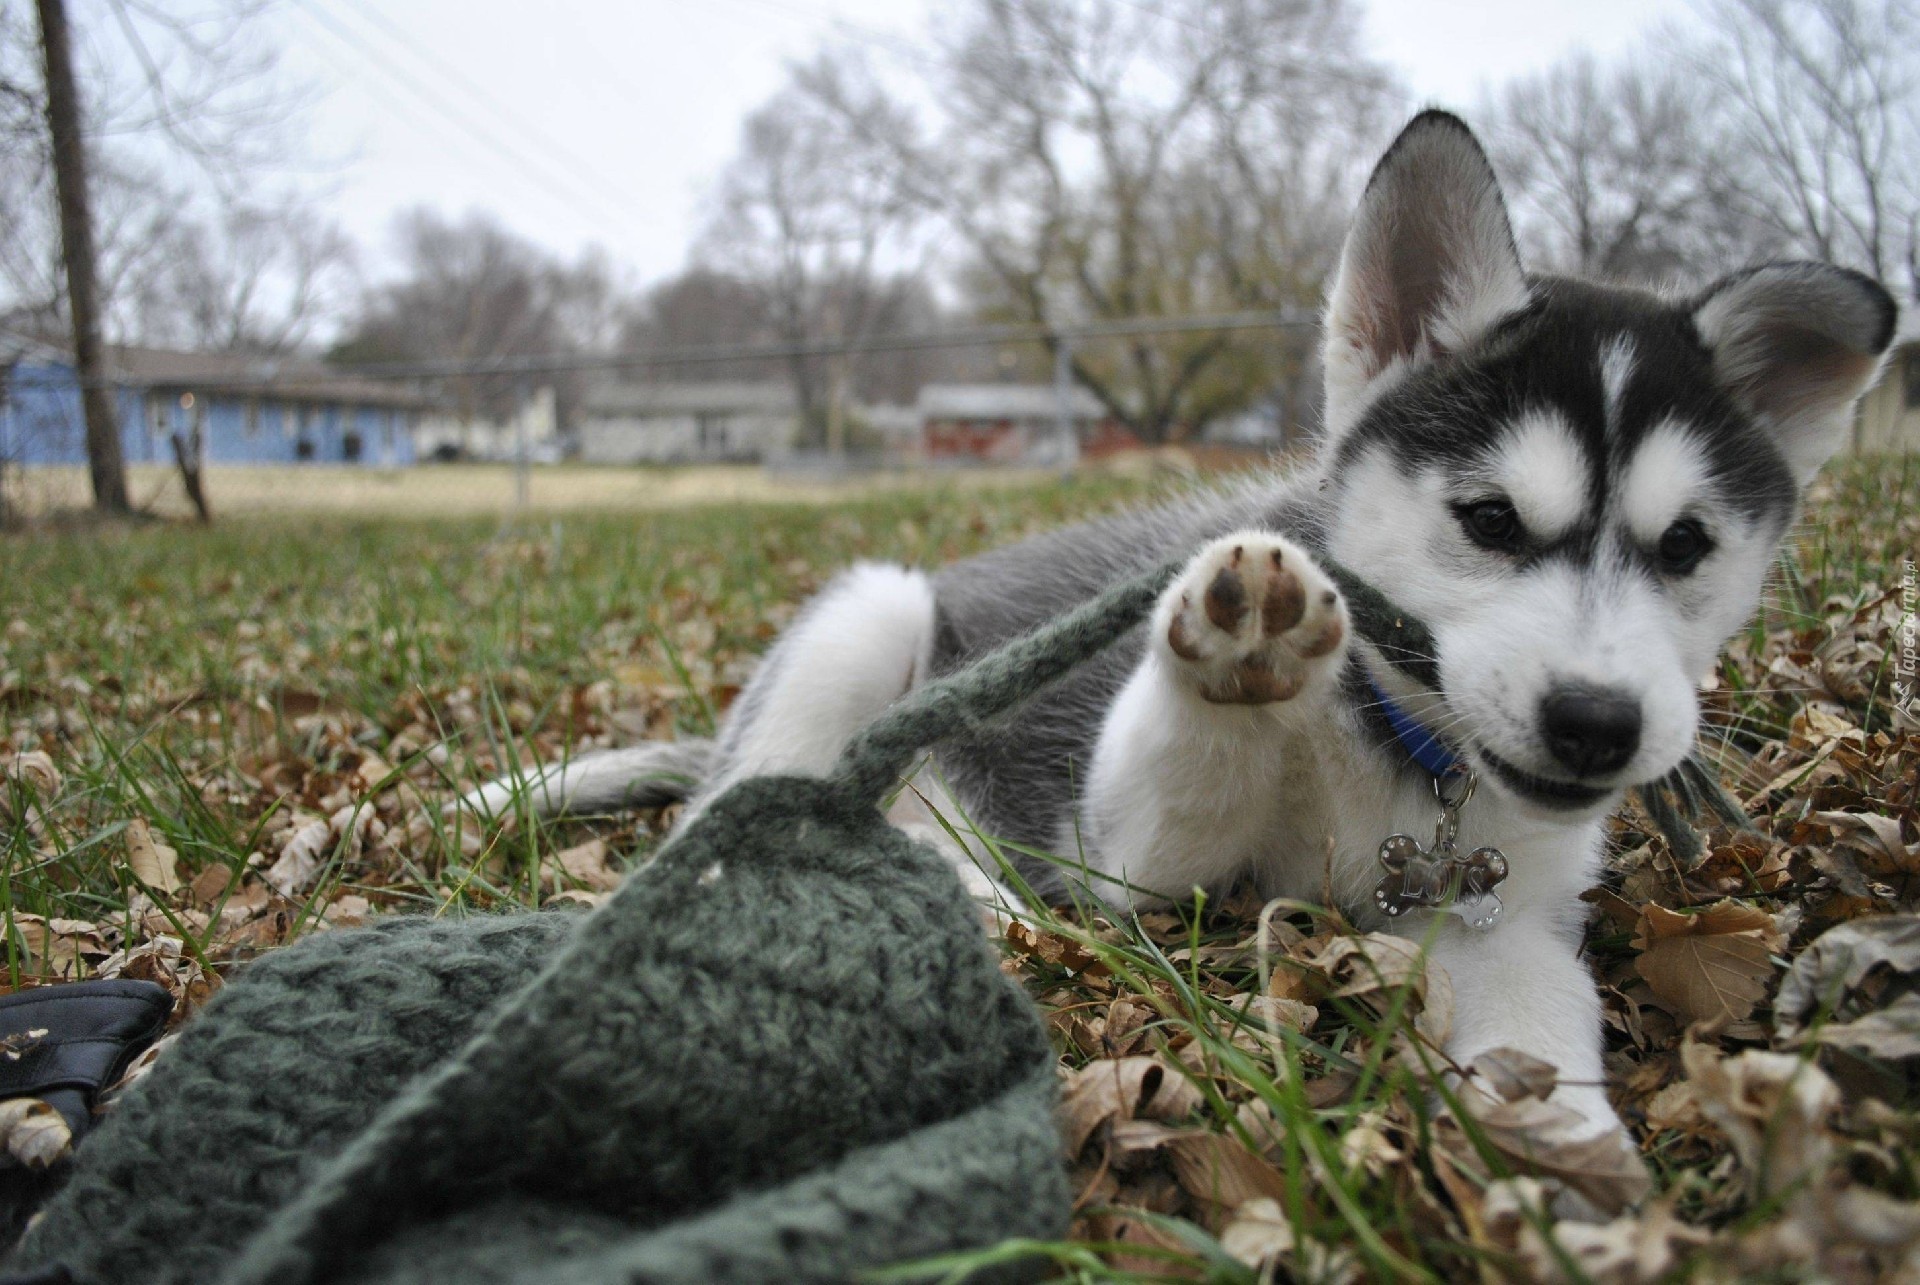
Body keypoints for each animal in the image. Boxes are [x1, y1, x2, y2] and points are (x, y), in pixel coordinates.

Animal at [480, 112, 1889, 1129]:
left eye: (1686, 547)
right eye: (1490, 521)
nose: (1596, 724)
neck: (1397, 751)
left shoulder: (1508, 908)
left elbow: (1543, 1017)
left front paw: (1576, 1168)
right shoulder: (1131, 863)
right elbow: (1178, 780)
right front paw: (1237, 652)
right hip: (868, 624)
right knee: (737, 824)